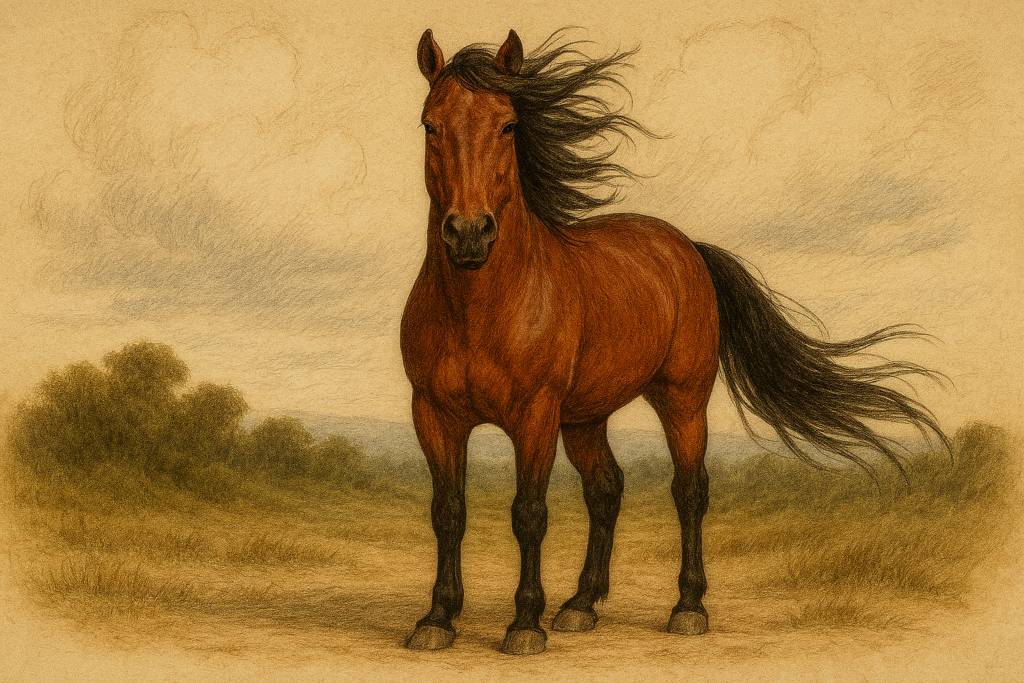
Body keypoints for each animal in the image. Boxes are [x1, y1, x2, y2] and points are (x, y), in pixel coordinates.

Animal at [399, 29, 947, 656]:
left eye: (509, 125)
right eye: (430, 125)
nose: (469, 234)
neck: (481, 306)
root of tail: (686, 248)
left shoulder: (535, 416)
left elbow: (529, 513)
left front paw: (523, 626)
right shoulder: (434, 414)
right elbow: (448, 512)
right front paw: (437, 619)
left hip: (682, 401)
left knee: (690, 491)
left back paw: (687, 608)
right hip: (584, 418)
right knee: (606, 490)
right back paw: (581, 605)